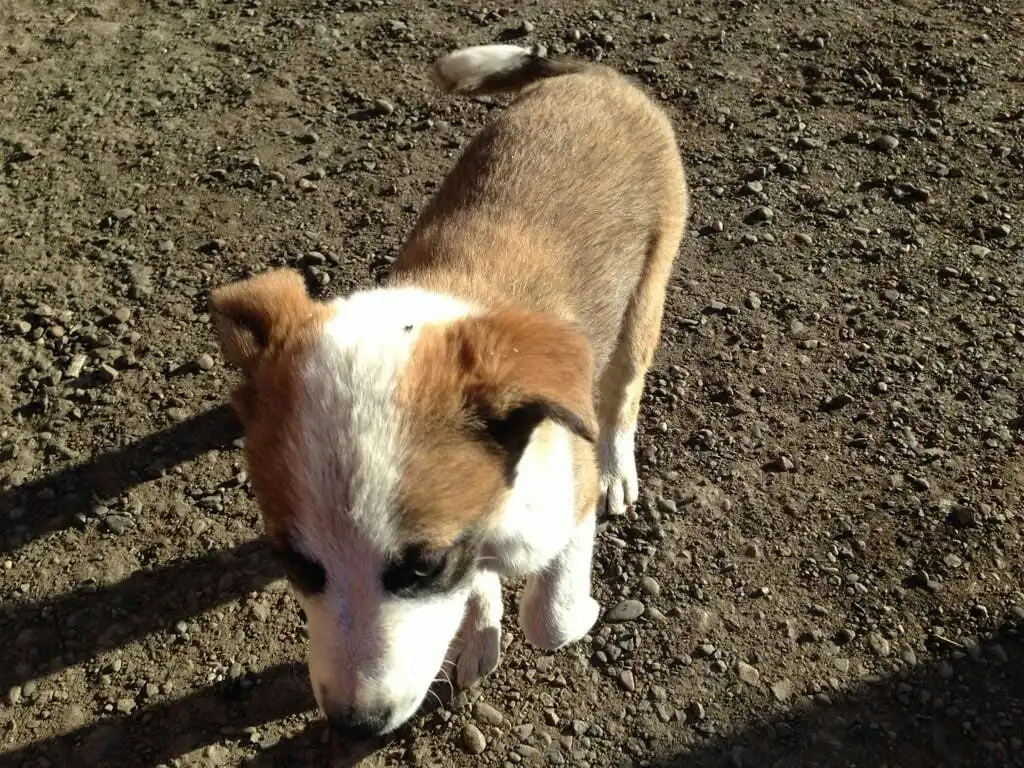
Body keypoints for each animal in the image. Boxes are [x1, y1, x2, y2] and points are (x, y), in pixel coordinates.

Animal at [209, 43, 689, 740]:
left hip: (643, 302)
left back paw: (616, 469)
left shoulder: (562, 506)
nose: (355, 727)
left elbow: (550, 619)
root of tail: (592, 76)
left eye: (423, 567)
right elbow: (482, 581)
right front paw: (480, 628)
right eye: (296, 564)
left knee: (622, 395)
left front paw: (582, 612)